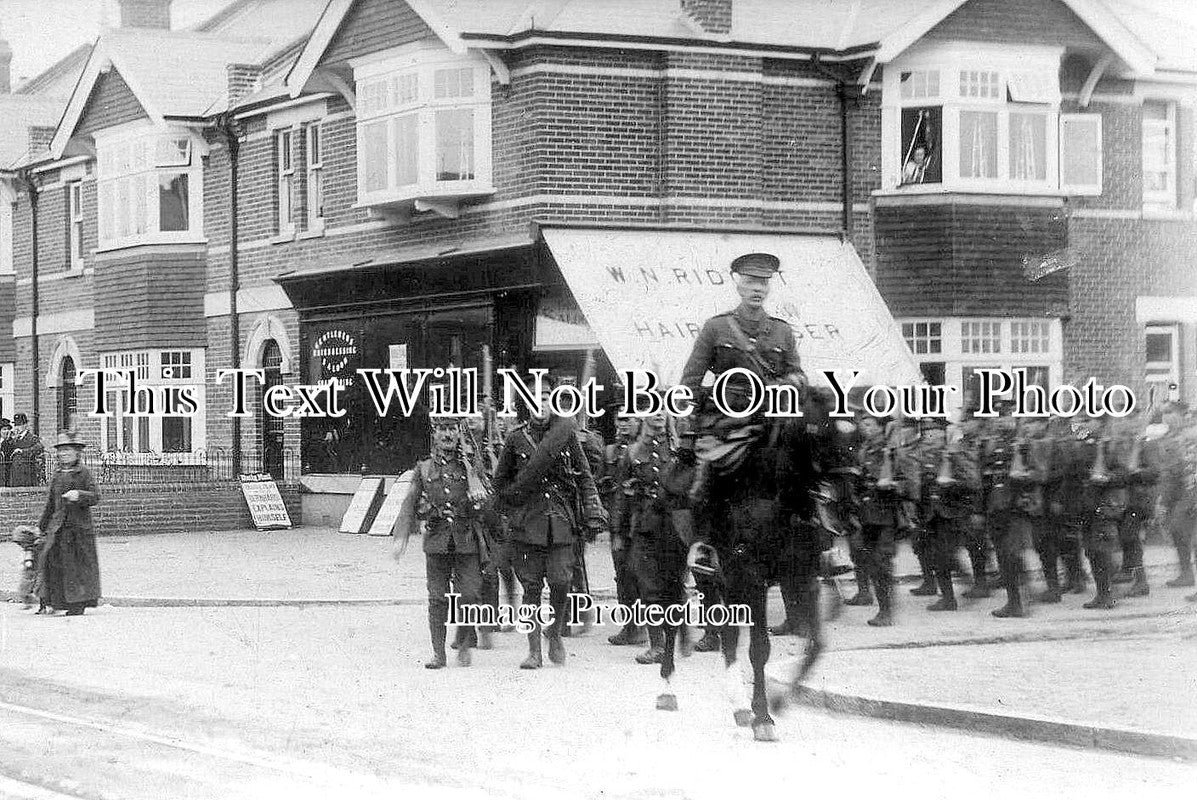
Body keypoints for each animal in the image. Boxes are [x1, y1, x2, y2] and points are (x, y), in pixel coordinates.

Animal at [655, 392, 842, 742]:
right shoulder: (754, 580)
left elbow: (816, 644)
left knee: (726, 634)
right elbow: (759, 649)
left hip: (719, 577)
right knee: (672, 621)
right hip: (673, 566)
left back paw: (739, 706)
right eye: (812, 430)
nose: (839, 494)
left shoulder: (803, 577)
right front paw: (764, 717)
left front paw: (779, 701)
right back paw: (667, 689)